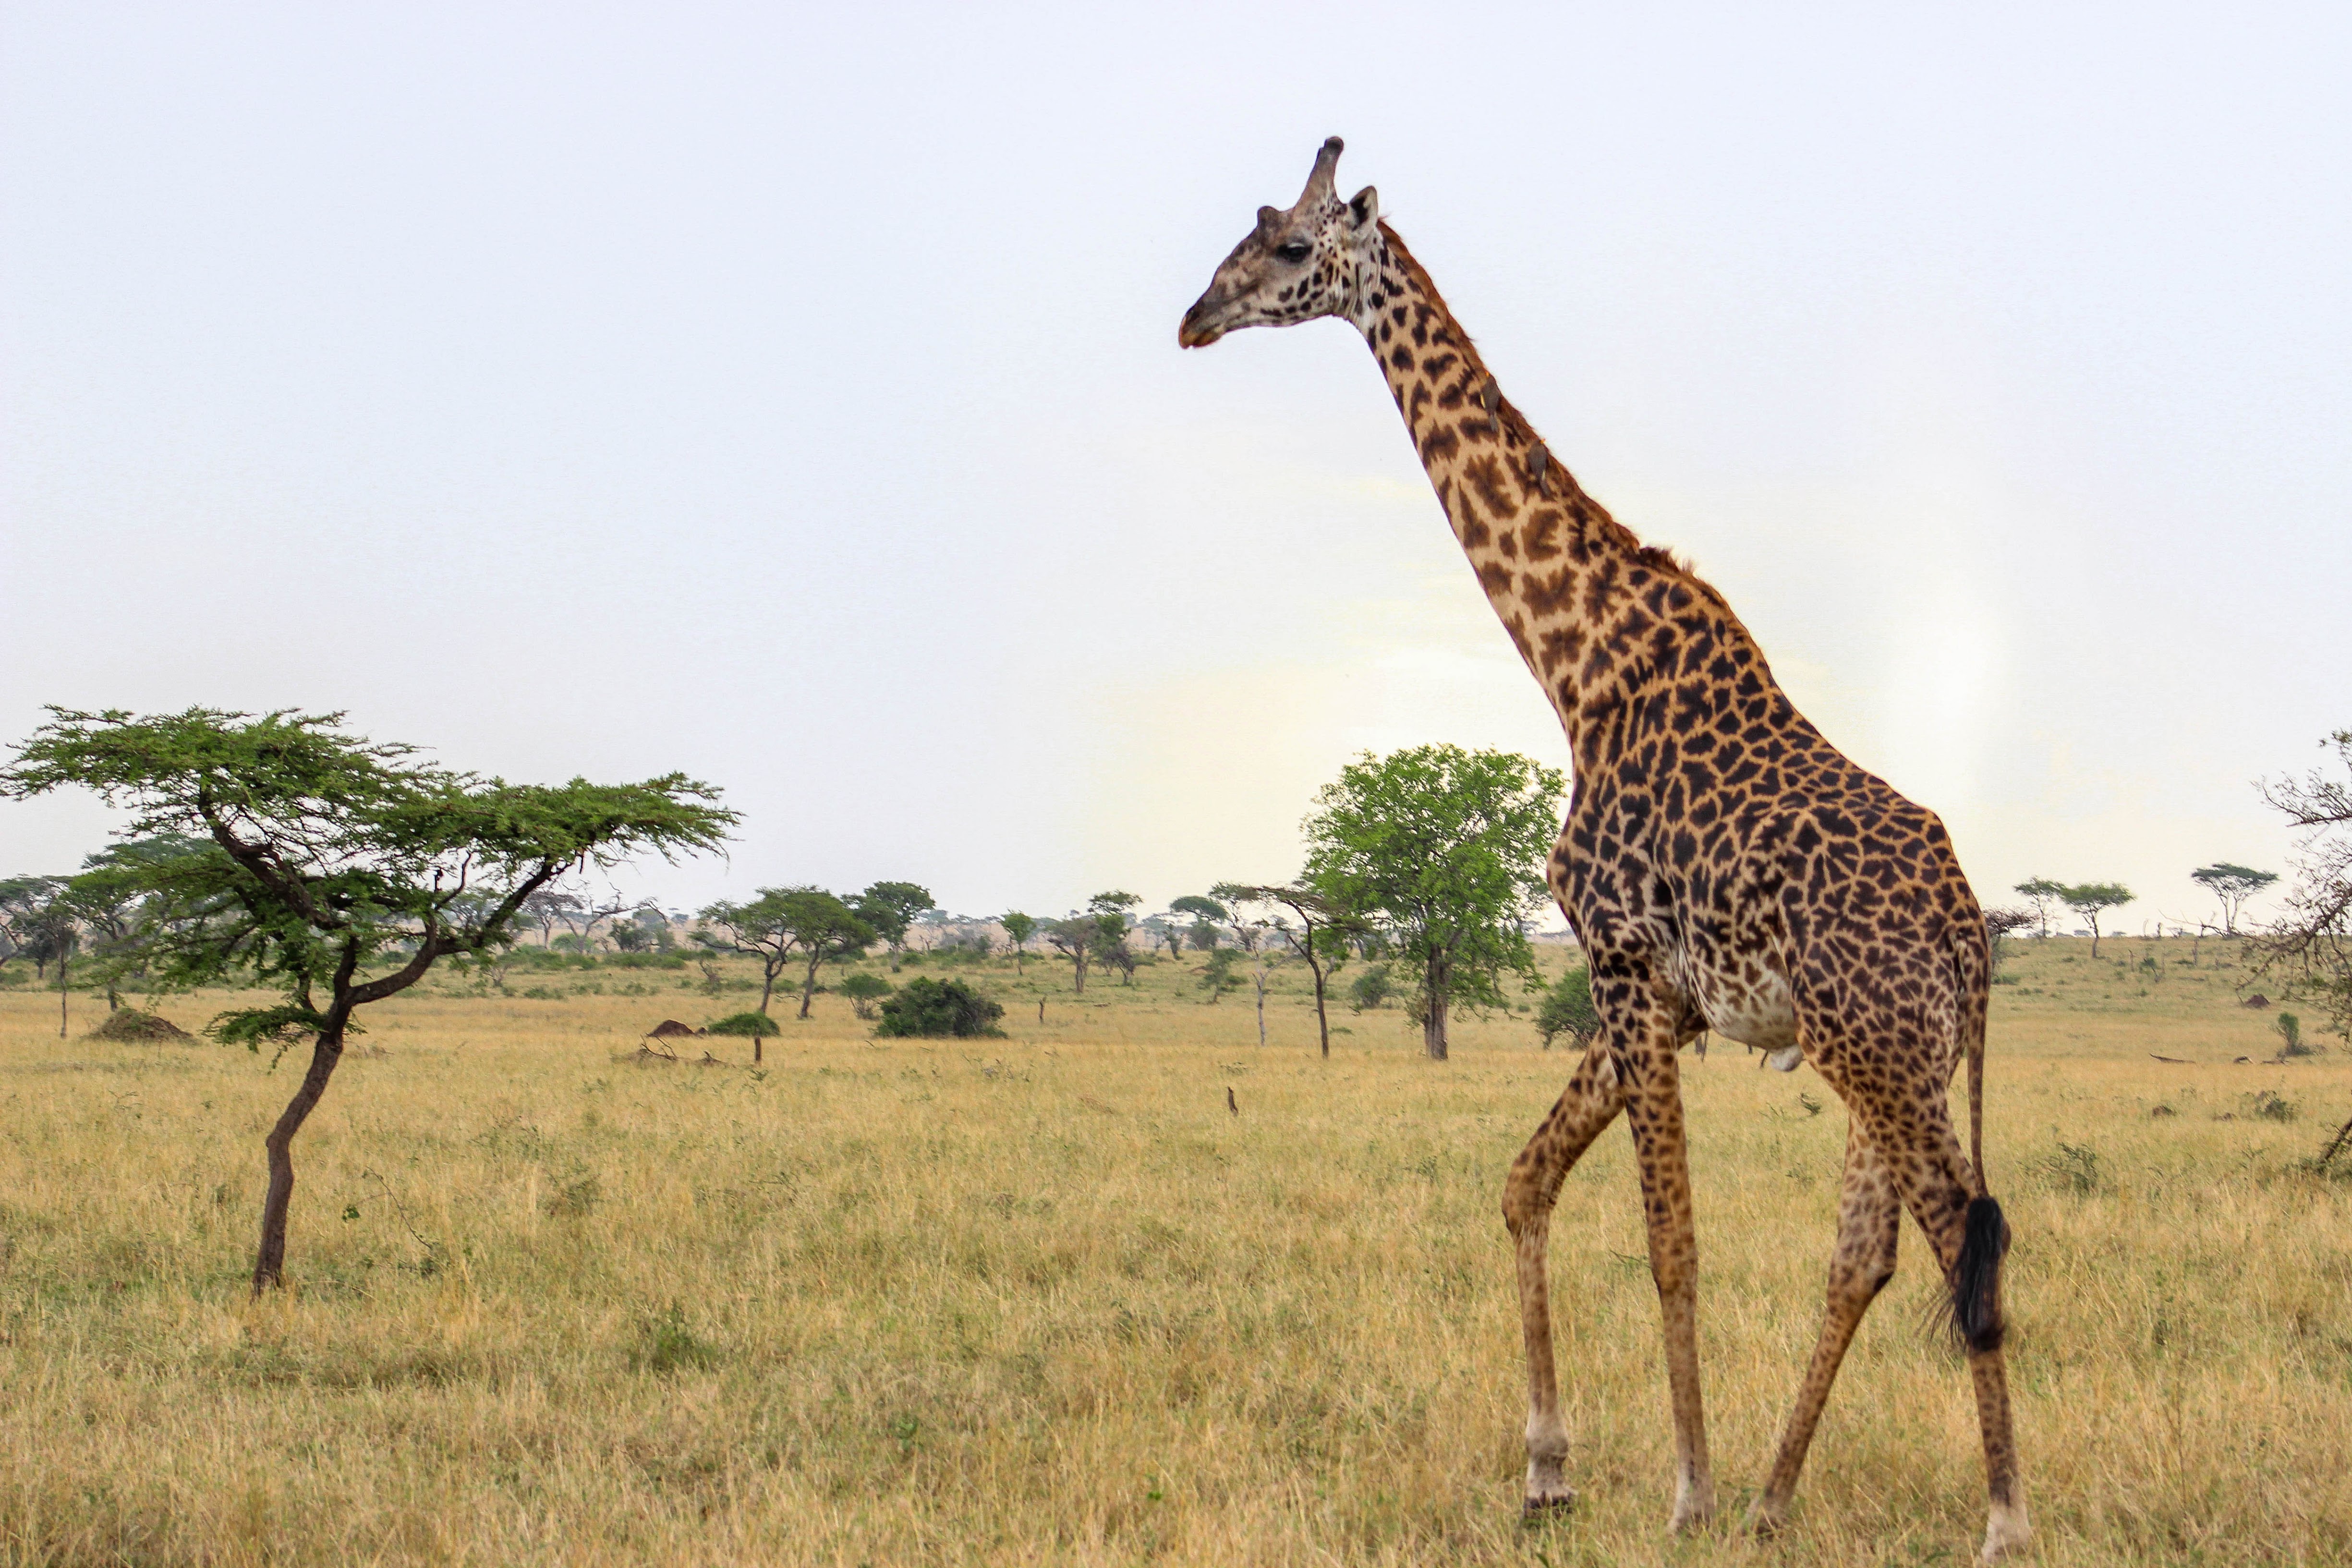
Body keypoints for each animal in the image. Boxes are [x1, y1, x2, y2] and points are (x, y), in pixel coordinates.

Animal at [1185, 141, 2032, 1561]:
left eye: (1292, 247)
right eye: (1246, 233)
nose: (1196, 315)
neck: (1575, 666)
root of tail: (1968, 929)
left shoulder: (1624, 961)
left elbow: (1667, 1242)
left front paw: (1682, 1490)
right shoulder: (1666, 996)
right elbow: (1524, 1182)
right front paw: (1548, 1470)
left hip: (1879, 1047)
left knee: (1961, 1231)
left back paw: (1999, 1518)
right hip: (1883, 1053)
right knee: (1867, 1251)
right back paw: (1775, 1498)